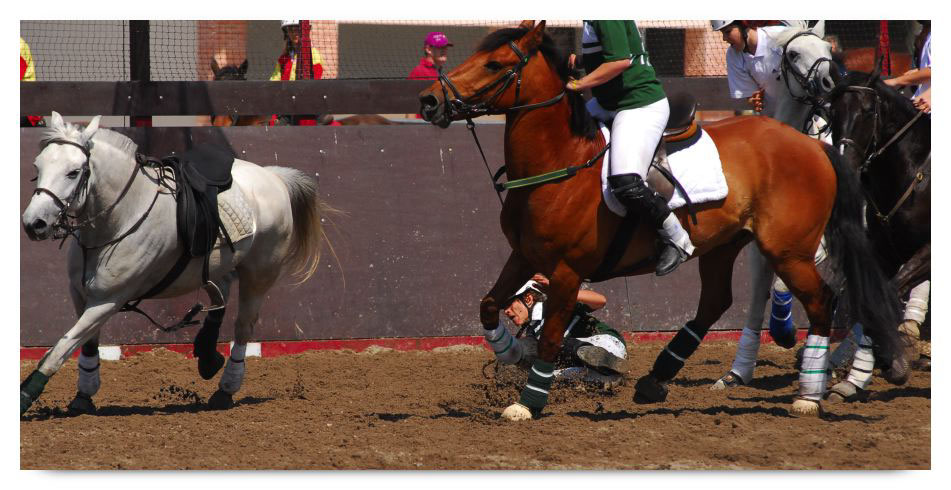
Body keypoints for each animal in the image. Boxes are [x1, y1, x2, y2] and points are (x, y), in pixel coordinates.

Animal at [20, 112, 334, 416]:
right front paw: (83, 396)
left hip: (259, 275)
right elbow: (85, 344)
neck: (122, 216)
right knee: (219, 297)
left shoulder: (107, 301)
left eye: (74, 172)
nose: (34, 223)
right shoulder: (80, 294)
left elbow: (59, 349)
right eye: (38, 167)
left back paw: (226, 389)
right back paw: (207, 355)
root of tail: (274, 176)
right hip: (214, 265)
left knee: (243, 326)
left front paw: (25, 397)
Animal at [418, 20, 906, 419]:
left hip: (788, 249)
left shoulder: (567, 271)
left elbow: (553, 335)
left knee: (821, 301)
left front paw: (528, 402)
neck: (557, 163)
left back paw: (809, 393)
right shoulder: (523, 256)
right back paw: (656, 380)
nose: (428, 100)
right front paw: (509, 350)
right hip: (723, 244)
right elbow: (488, 304)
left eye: (494, 63)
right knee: (715, 302)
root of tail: (814, 146)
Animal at [820, 69, 930, 401]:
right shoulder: (884, 254)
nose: (843, 162)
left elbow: (890, 292)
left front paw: (894, 362)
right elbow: (873, 301)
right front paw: (862, 376)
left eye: (869, 111)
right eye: (832, 111)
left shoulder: (928, 252)